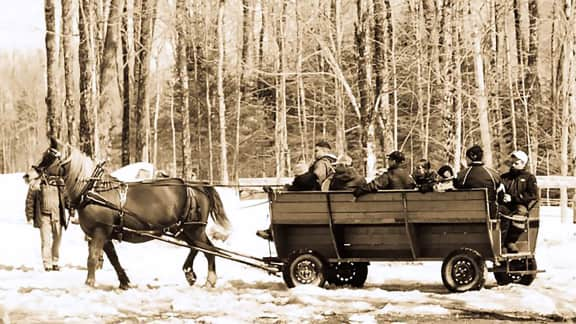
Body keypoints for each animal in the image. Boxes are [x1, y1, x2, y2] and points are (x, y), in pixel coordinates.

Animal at [24, 137, 232, 288]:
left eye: (49, 156)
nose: (28, 175)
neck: (92, 190)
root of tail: (198, 186)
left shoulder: (99, 232)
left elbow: (92, 258)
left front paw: (89, 283)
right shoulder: (105, 234)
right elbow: (113, 259)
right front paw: (124, 282)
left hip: (193, 229)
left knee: (208, 249)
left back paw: (208, 279)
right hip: (182, 229)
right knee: (198, 248)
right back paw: (190, 272)